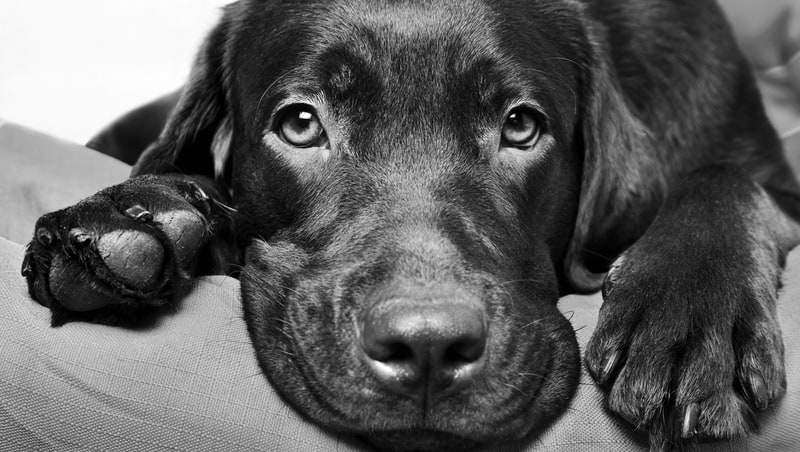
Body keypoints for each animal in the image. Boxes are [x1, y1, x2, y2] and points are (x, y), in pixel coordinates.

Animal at [20, 0, 800, 450]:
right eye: (299, 123)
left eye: (521, 126)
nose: (427, 348)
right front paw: (130, 213)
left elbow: (724, 181)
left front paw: (690, 320)